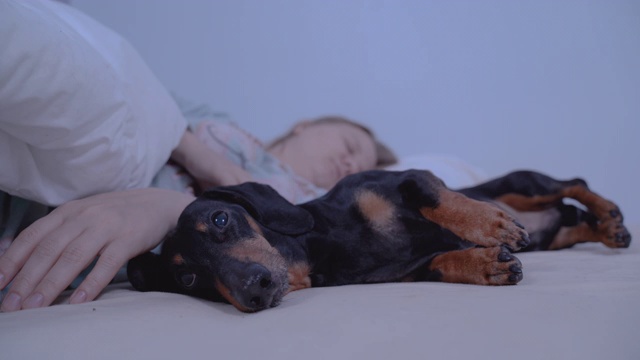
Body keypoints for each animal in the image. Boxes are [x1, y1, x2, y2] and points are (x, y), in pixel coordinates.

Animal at [126, 169, 632, 312]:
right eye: (188, 278)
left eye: (219, 218)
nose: (254, 291)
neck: (322, 242)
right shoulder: (402, 272)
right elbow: (442, 263)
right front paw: (486, 263)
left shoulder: (410, 179)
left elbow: (440, 200)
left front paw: (489, 228)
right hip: (554, 235)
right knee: (573, 221)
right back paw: (604, 227)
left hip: (523, 185)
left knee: (573, 184)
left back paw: (610, 215)